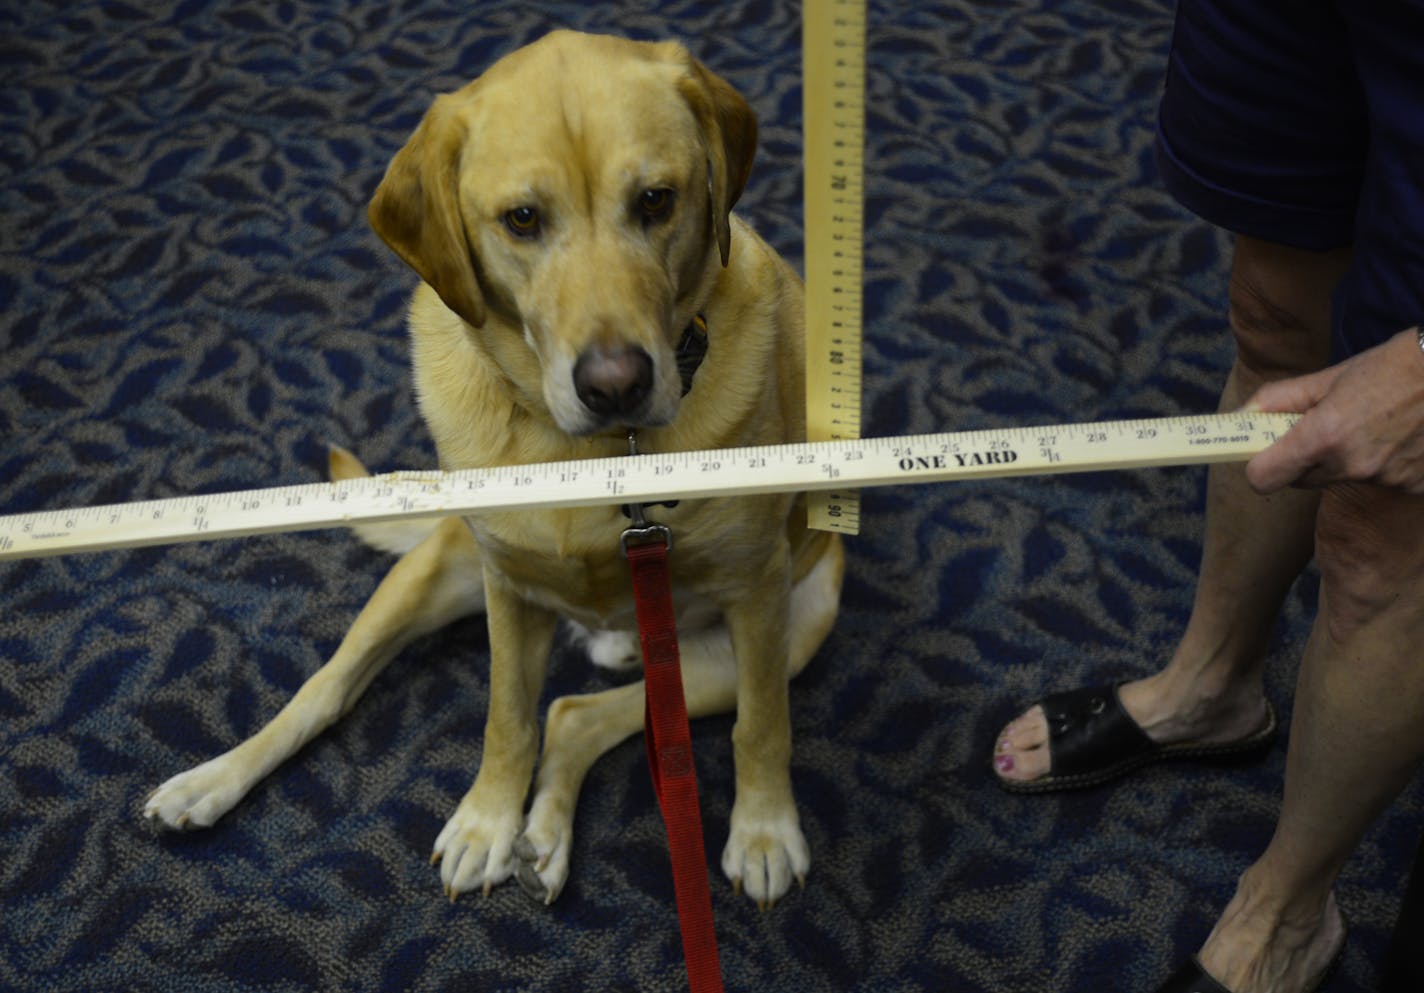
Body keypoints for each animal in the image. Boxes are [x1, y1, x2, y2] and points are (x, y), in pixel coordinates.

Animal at [141, 29, 843, 906]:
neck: (587, 457)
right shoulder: (507, 590)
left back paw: (547, 833)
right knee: (327, 691)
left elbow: (764, 723)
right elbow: (506, 716)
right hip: (433, 574)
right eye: (523, 219)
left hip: (781, 631)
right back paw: (211, 781)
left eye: (656, 200)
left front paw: (765, 827)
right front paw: (486, 821)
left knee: (576, 712)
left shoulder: (757, 595)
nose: (616, 384)